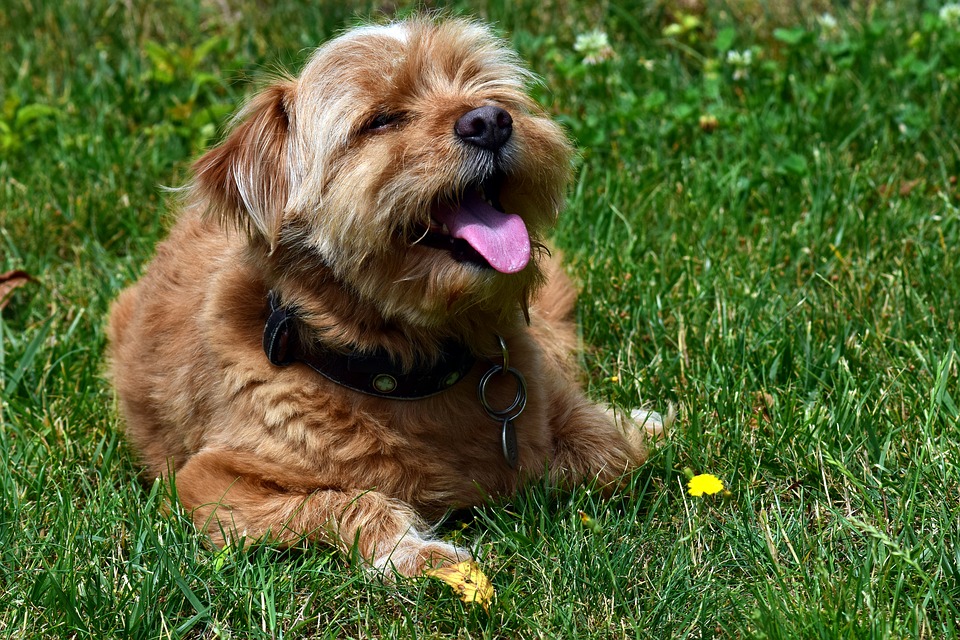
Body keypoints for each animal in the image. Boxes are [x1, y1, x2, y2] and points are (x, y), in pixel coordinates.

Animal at [107, 15, 668, 576]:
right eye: (382, 121)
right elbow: (347, 501)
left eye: (484, 87)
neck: (408, 370)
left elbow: (611, 450)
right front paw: (419, 553)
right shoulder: (209, 485)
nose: (490, 120)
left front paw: (624, 431)